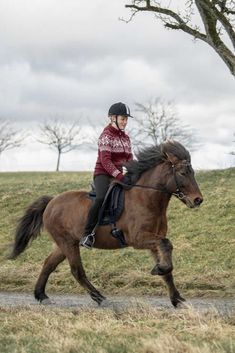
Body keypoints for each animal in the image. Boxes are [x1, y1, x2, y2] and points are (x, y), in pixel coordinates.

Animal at [9, 140, 203, 306]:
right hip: (67, 242)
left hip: (64, 244)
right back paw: (99, 297)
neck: (146, 199)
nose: (198, 200)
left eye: (192, 172)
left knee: (48, 264)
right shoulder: (138, 239)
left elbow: (167, 265)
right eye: (182, 173)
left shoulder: (153, 240)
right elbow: (166, 244)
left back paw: (41, 295)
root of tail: (51, 202)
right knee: (76, 270)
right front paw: (159, 270)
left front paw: (176, 297)